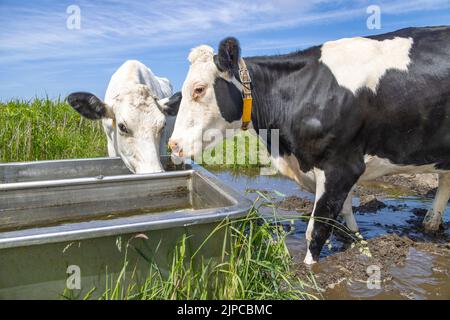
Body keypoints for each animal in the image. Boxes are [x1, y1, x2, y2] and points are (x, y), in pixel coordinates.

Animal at [165, 26, 450, 264]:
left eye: (199, 89)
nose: (173, 144)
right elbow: (345, 211)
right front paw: (358, 242)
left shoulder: (340, 166)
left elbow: (318, 229)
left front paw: (309, 271)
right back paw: (430, 226)